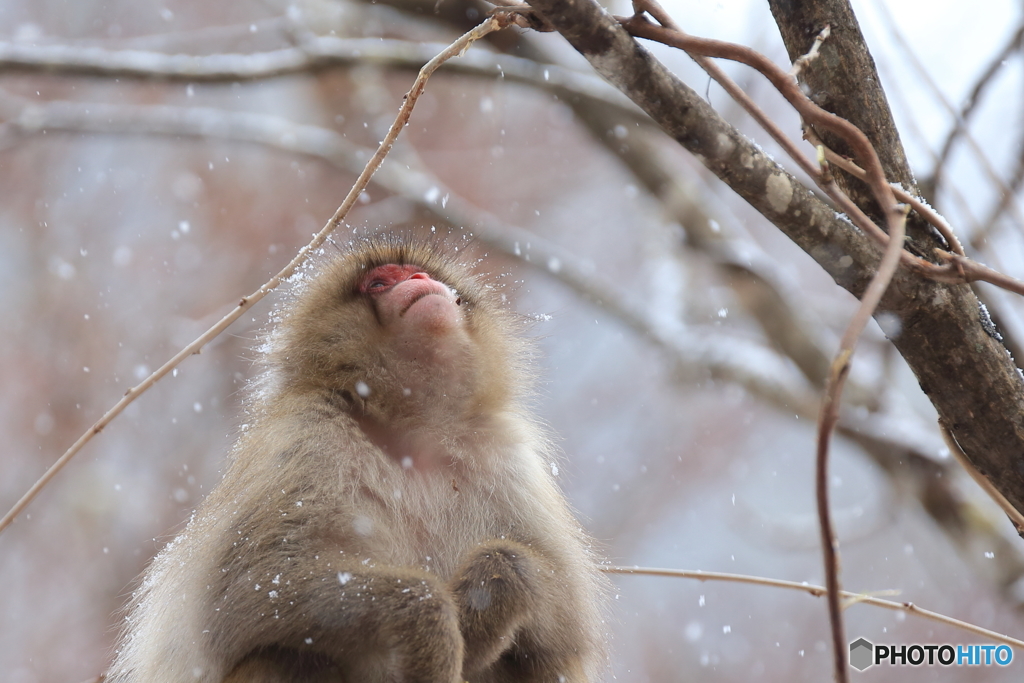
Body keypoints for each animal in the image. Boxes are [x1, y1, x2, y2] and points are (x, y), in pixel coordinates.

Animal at [112, 236, 606, 683]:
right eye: (380, 283)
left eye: (416, 273)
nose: (420, 281)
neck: (412, 439)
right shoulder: (305, 438)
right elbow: (247, 591)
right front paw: (429, 619)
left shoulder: (508, 460)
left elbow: (566, 630)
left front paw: (490, 599)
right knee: (282, 656)